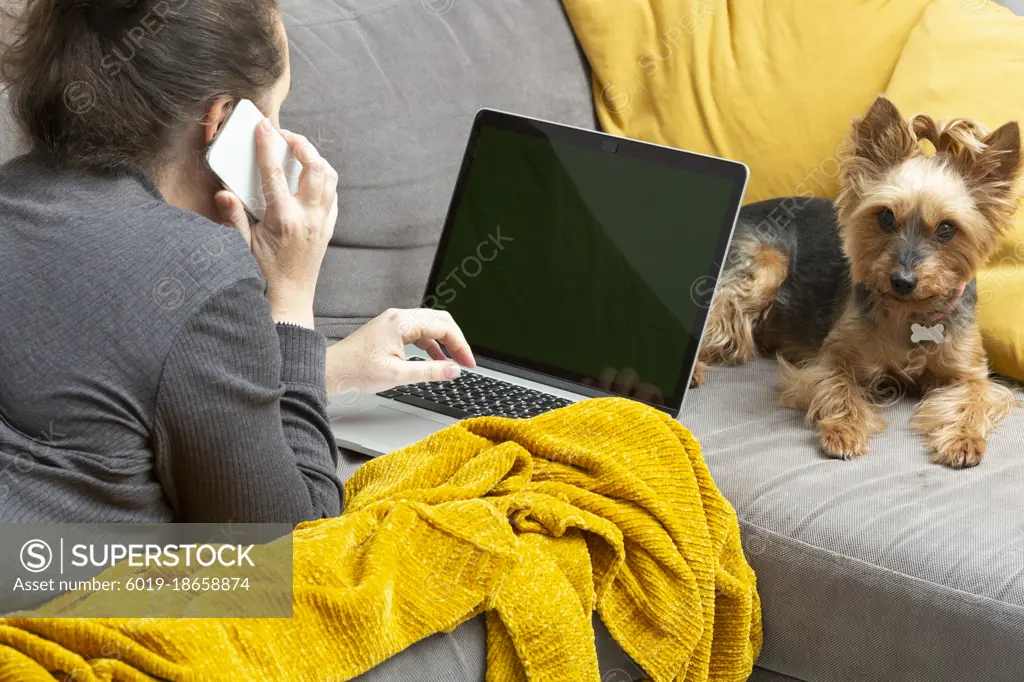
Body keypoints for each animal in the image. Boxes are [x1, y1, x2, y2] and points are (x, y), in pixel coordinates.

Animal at [700, 96, 1019, 466]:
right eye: (886, 217)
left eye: (946, 229)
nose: (903, 281)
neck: (908, 314)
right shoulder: (829, 360)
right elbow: (838, 388)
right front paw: (844, 430)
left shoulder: (970, 371)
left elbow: (975, 397)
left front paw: (964, 440)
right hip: (767, 266)